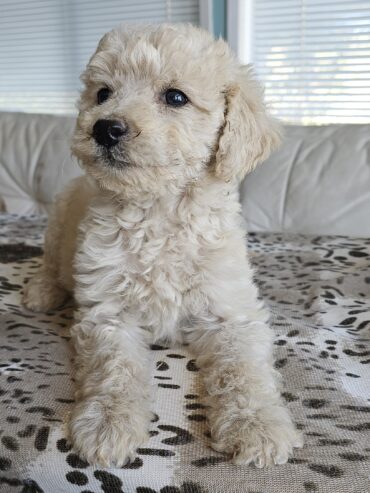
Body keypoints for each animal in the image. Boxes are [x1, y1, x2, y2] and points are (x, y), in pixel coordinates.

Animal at [23, 24, 302, 468]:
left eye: (175, 97)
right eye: (103, 93)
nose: (105, 128)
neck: (158, 211)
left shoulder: (231, 312)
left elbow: (243, 369)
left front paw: (257, 424)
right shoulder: (107, 312)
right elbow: (115, 368)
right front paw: (108, 423)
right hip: (60, 215)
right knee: (50, 263)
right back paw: (42, 291)